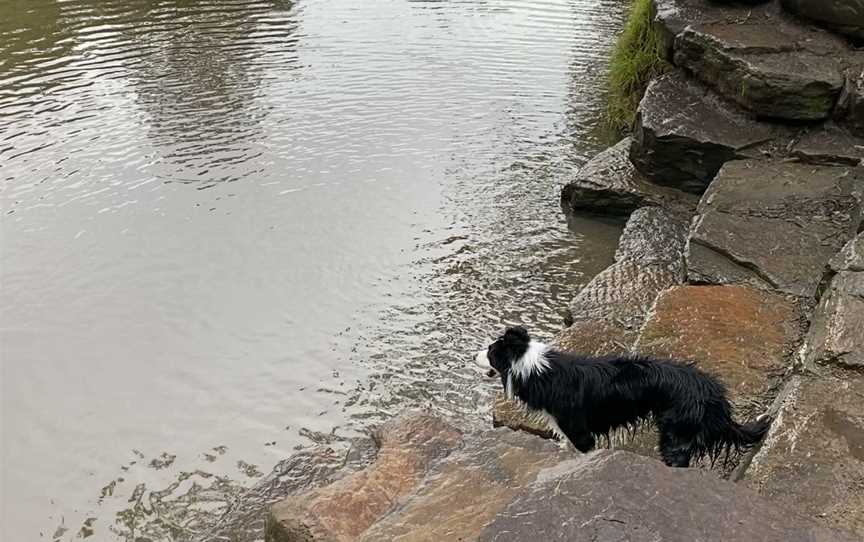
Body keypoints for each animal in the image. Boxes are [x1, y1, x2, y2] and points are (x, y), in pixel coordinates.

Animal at [476, 326, 772, 470]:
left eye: (489, 351)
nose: (472, 355)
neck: (533, 368)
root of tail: (710, 390)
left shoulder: (580, 431)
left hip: (674, 434)